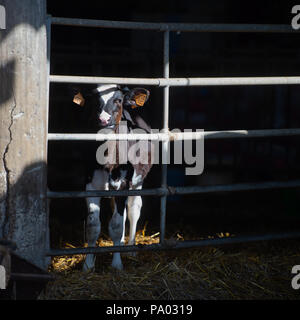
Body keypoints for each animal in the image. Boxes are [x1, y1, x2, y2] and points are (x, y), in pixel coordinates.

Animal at [72, 85, 152, 270]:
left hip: (137, 182)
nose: (104, 119)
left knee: (133, 209)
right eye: (94, 100)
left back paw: (130, 248)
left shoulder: (123, 185)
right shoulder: (91, 185)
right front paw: (88, 265)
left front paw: (116, 265)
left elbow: (116, 225)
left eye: (118, 100)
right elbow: (93, 226)